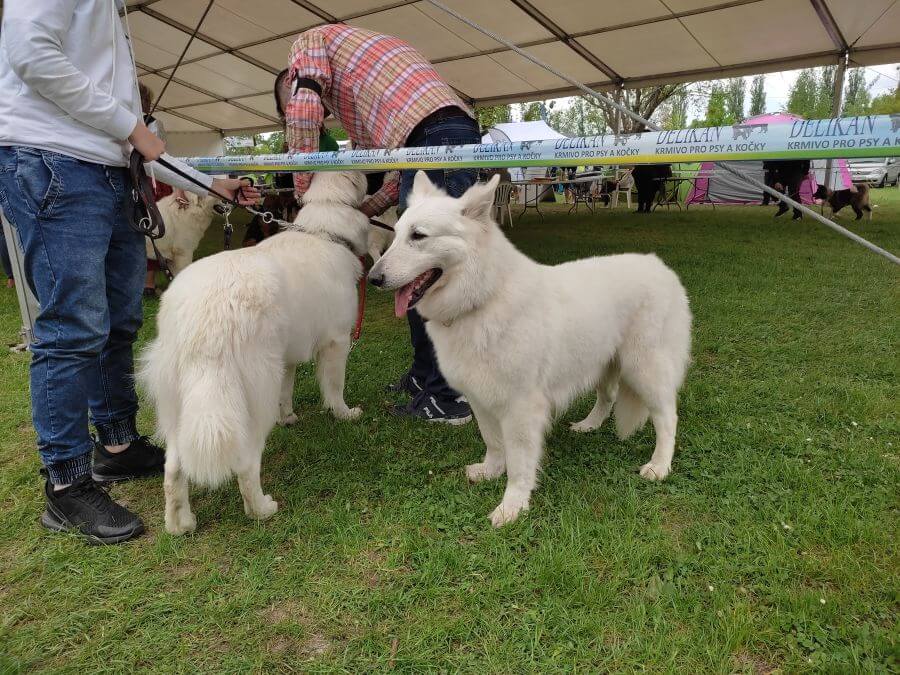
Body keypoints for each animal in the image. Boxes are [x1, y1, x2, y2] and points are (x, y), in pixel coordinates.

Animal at [138, 172, 370, 536]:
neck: (323, 230)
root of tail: (206, 314)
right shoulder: (337, 342)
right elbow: (334, 388)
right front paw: (344, 414)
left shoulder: (286, 357)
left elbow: (288, 390)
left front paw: (288, 417)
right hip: (255, 392)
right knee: (246, 463)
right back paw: (261, 509)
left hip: (178, 402)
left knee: (173, 468)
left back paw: (180, 525)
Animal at [370, 174, 692, 528]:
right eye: (397, 233)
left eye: (418, 236)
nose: (372, 278)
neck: (483, 296)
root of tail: (660, 266)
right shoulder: (481, 400)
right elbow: (493, 443)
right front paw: (491, 470)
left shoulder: (521, 409)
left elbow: (520, 463)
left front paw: (513, 505)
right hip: (604, 362)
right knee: (607, 398)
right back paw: (589, 425)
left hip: (644, 369)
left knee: (667, 417)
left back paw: (659, 465)